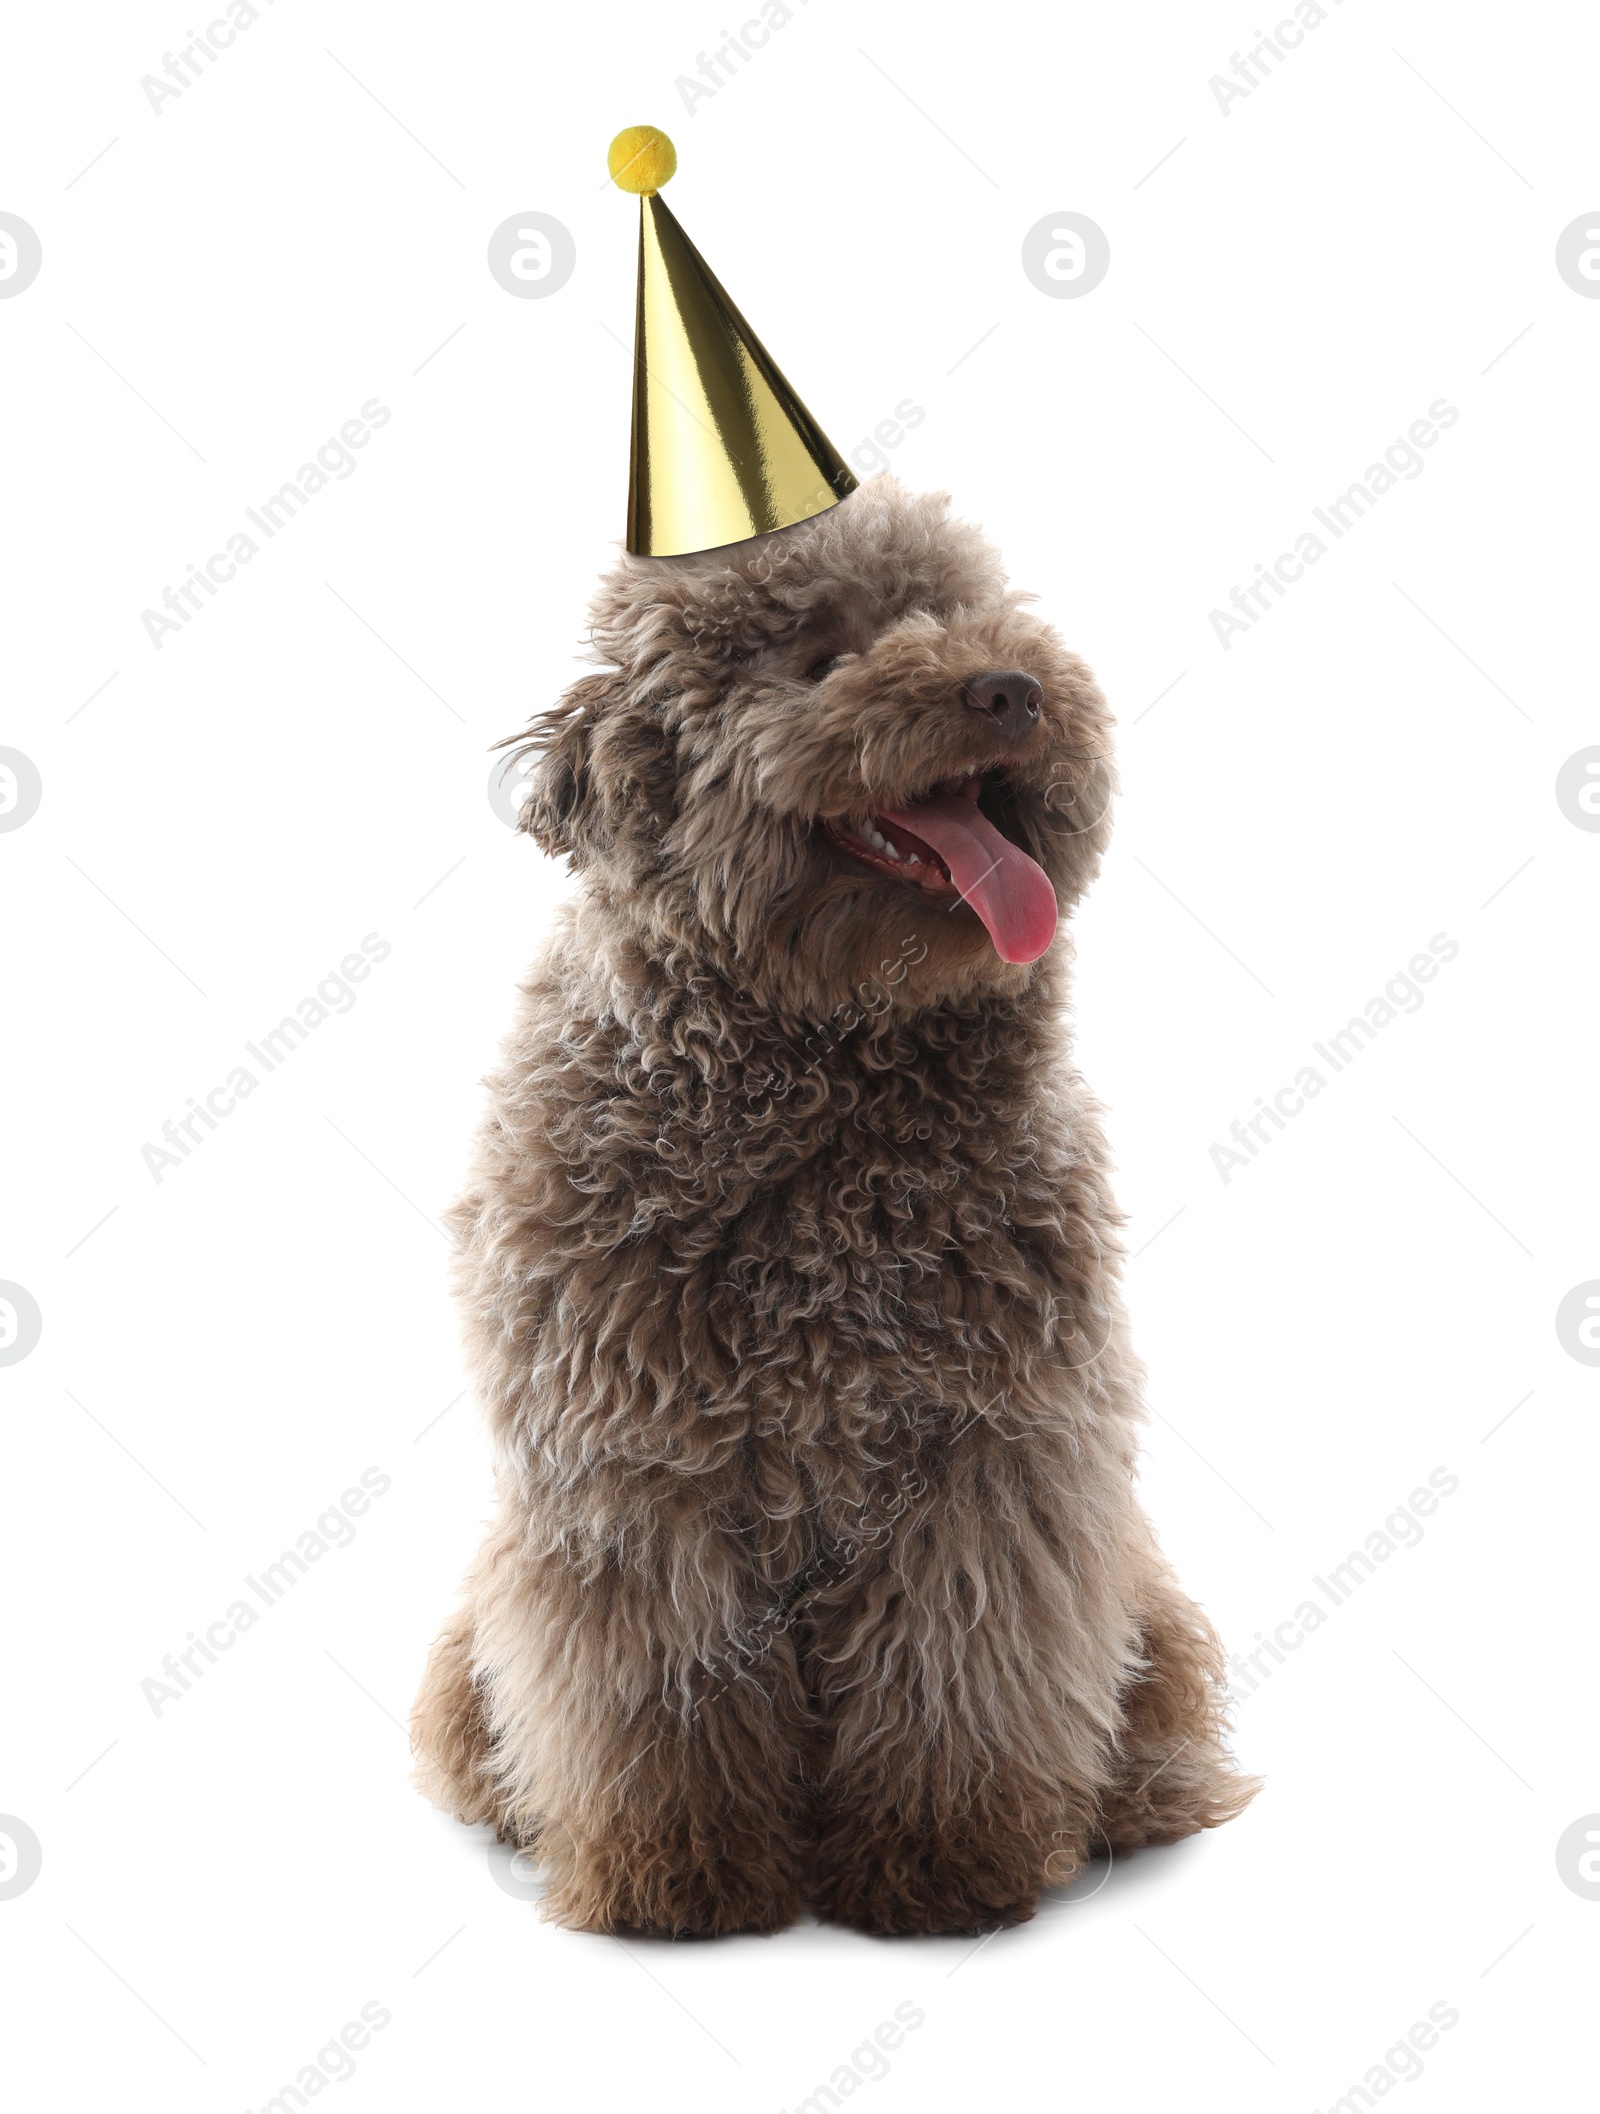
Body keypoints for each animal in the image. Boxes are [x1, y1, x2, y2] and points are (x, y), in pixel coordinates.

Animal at [414, 475, 1259, 1936]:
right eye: (815, 656)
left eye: (966, 610)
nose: (1010, 689)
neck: (824, 1065)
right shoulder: (633, 1475)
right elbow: (659, 1690)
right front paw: (677, 1873)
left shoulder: (987, 1459)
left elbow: (961, 1669)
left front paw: (945, 1860)